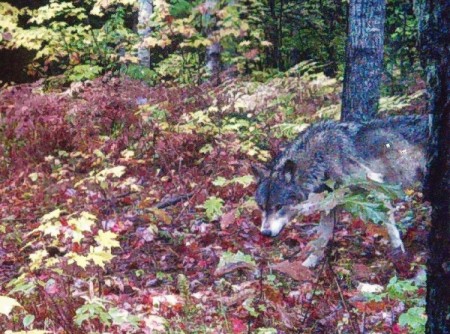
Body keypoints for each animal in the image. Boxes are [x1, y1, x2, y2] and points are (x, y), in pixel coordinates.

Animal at [255, 116, 428, 268]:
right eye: (262, 207)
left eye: (279, 206)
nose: (265, 233)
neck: (322, 159)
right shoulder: (329, 205)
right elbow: (322, 237)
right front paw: (309, 264)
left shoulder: (376, 185)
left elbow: (389, 224)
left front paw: (399, 251)